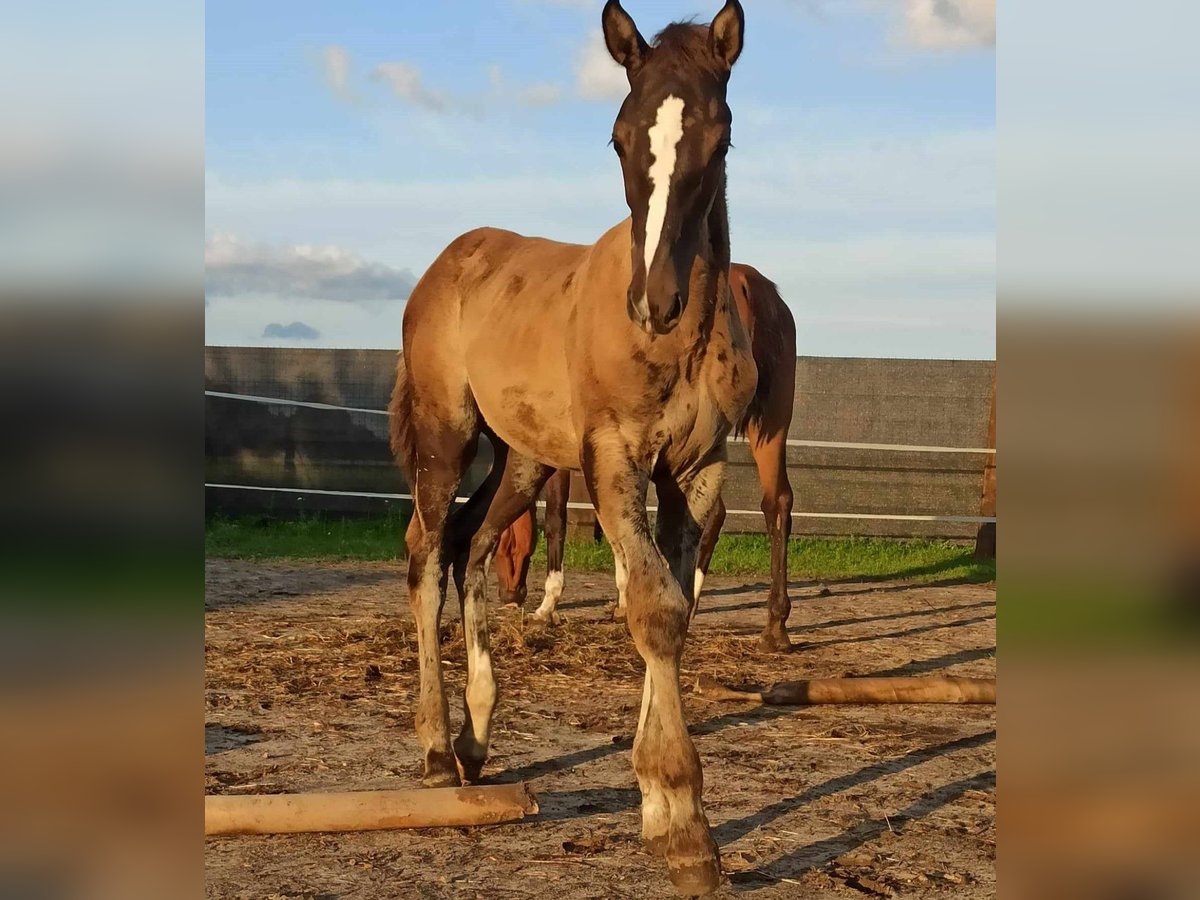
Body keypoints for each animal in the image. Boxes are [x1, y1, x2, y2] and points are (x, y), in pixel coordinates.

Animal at [496, 264, 796, 652]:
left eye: (504, 545)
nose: (507, 596)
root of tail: (744, 283)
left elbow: (558, 522)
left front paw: (549, 607)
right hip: (771, 425)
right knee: (774, 504)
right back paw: (772, 626)